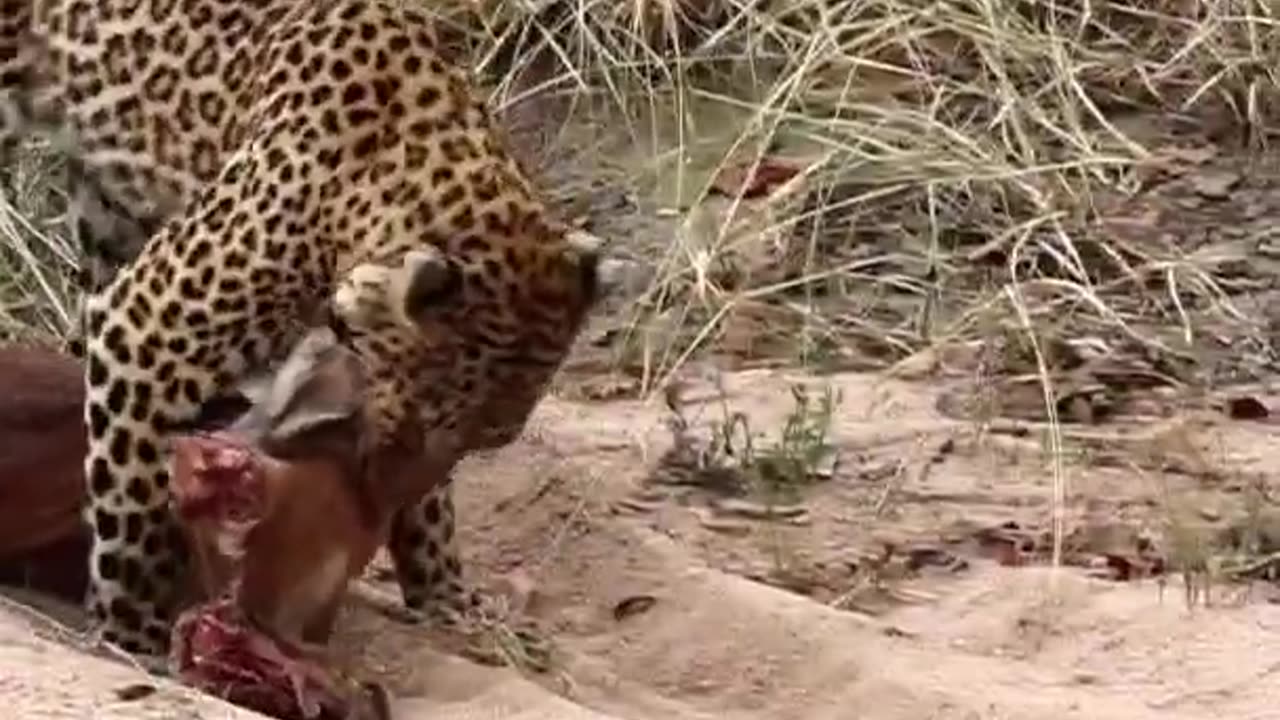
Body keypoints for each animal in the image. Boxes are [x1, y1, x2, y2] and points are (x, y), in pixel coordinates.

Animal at [0, 0, 604, 661]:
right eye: (406, 434)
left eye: (484, 442)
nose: (375, 505)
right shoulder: (143, 329)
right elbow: (134, 507)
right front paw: (130, 633)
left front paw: (447, 598)